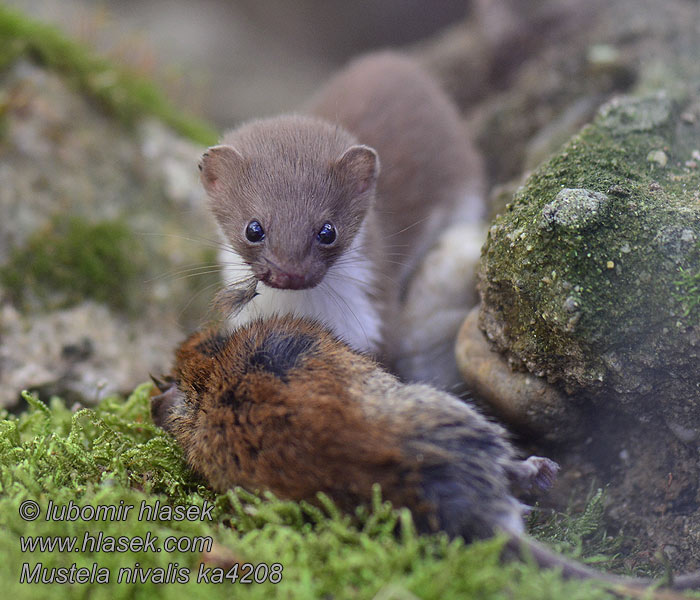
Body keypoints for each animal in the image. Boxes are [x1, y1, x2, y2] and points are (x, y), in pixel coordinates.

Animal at [197, 51, 482, 354]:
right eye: (253, 229)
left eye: (328, 231)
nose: (290, 273)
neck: (300, 309)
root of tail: (394, 60)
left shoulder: (374, 320)